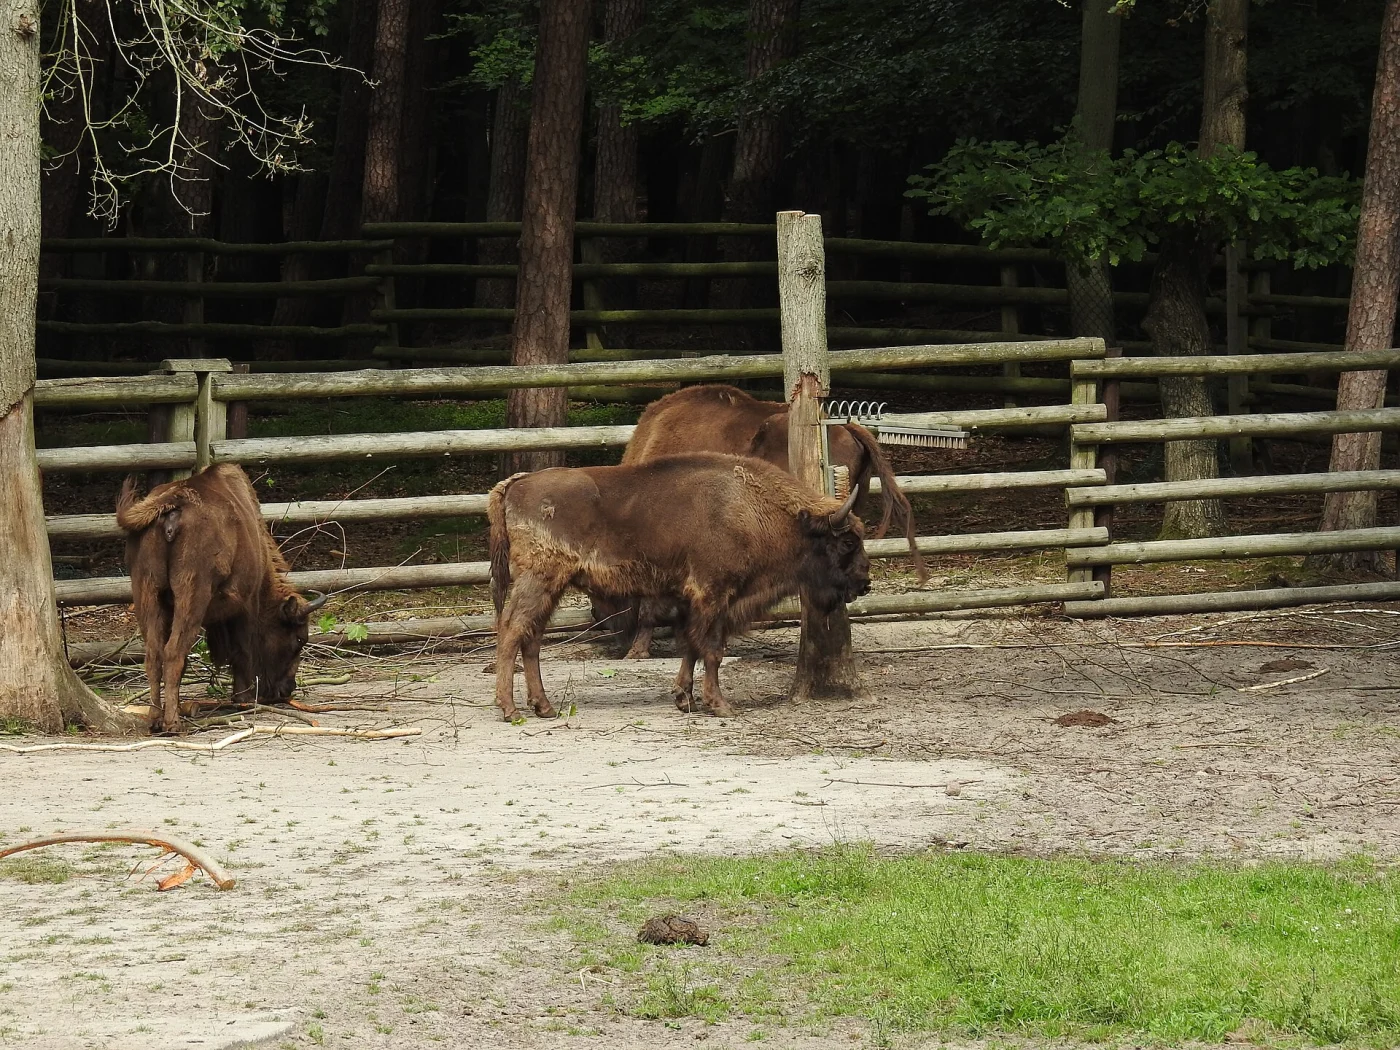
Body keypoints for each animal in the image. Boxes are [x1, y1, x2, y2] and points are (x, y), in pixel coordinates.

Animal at [117, 465, 326, 733]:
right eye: (299, 639)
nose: (287, 689)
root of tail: (173, 502)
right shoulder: (247, 605)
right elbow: (243, 650)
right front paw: (243, 698)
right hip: (192, 595)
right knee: (173, 652)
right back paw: (173, 723)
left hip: (146, 591)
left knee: (154, 654)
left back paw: (155, 719)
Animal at [489, 453, 870, 721]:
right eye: (848, 541)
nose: (864, 582)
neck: (749, 507)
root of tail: (516, 484)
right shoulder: (714, 594)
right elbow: (712, 649)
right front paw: (720, 705)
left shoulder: (695, 601)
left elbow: (691, 647)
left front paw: (684, 698)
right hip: (540, 579)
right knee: (512, 629)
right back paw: (510, 710)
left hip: (551, 586)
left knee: (531, 636)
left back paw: (544, 707)